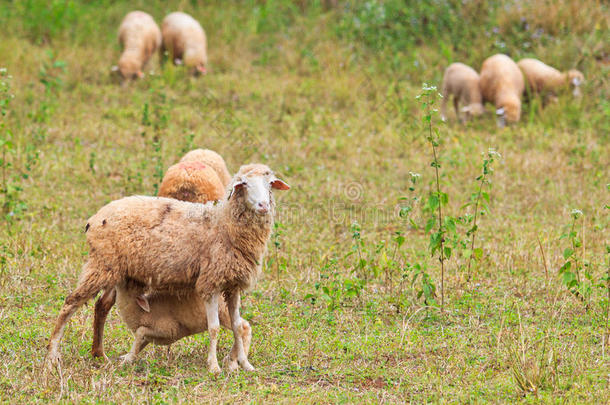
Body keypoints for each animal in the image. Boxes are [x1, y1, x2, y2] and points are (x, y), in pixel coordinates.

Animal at [113, 278, 251, 370]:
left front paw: (126, 361)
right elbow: (140, 343)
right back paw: (232, 358)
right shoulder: (151, 336)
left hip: (223, 312)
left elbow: (140, 331)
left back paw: (237, 361)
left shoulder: (170, 329)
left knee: (244, 327)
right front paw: (126, 357)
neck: (141, 313)